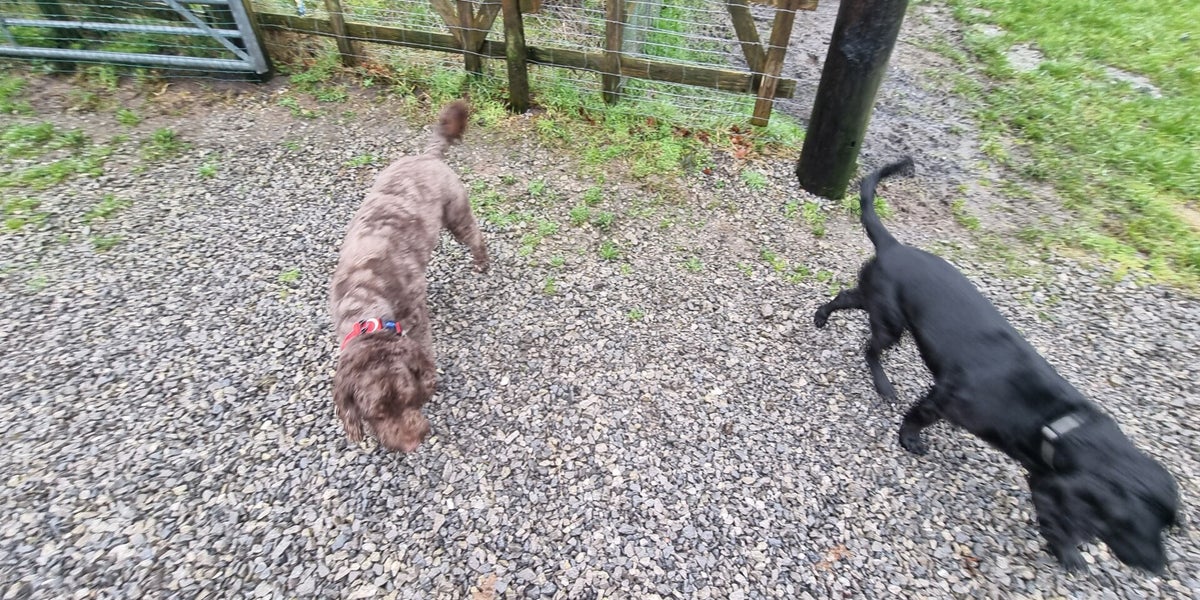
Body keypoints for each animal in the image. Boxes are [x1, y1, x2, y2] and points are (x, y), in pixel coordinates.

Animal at [329, 100, 488, 452]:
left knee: (476, 237)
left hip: (457, 214)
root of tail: (427, 156)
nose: (414, 442)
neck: (365, 303)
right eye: (375, 413)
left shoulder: (415, 319)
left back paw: (482, 262)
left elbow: (425, 350)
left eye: (408, 398)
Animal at [814, 157, 1179, 572]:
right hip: (891, 323)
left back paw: (823, 317)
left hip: (878, 304)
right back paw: (883, 384)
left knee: (844, 298)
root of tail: (895, 246)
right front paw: (910, 441)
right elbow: (917, 417)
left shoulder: (1043, 475)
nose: (1159, 567)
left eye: (1167, 528)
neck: (1058, 423)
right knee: (870, 349)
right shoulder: (945, 399)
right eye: (1128, 523)